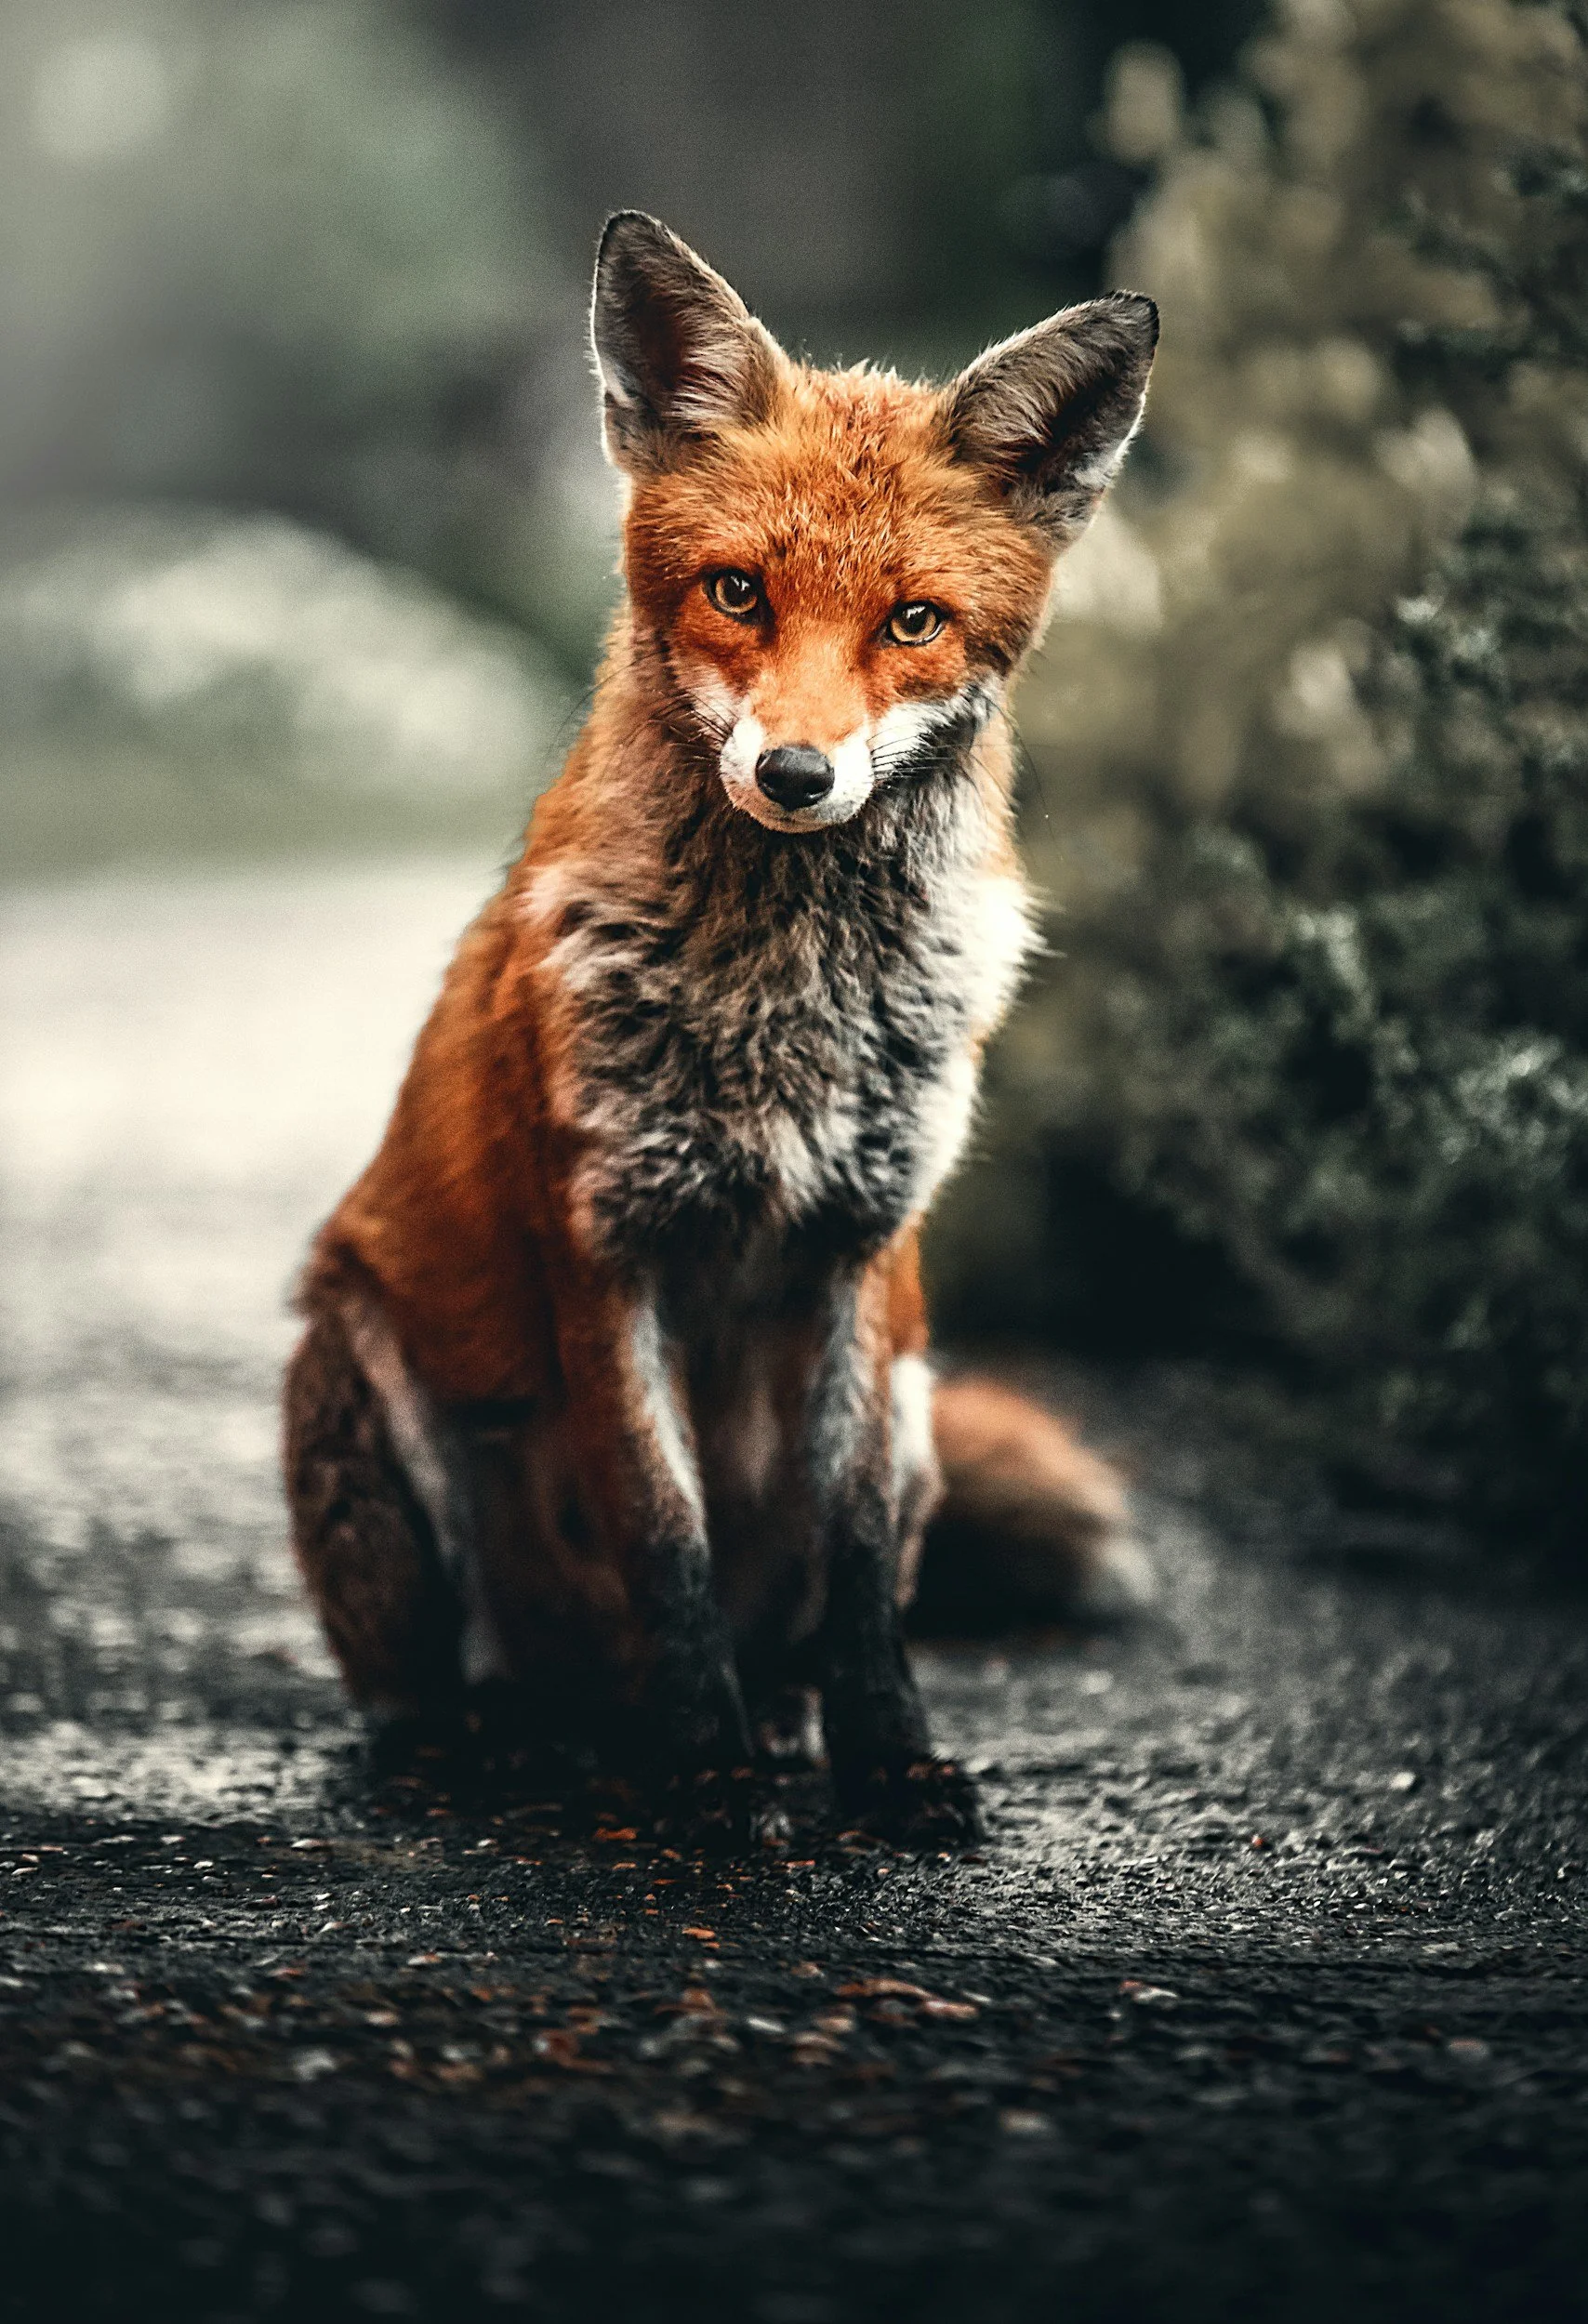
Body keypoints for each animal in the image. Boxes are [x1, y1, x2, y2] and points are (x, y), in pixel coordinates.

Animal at [283, 211, 1157, 1848]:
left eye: (913, 621)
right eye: (739, 592)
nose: (799, 775)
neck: (785, 1008)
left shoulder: (866, 1255)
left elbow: (861, 1566)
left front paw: (888, 1762)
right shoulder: (606, 1247)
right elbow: (665, 1536)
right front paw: (706, 1778)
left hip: (924, 1398)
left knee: (801, 1622)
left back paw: (773, 1725)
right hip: (365, 1376)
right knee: (441, 1688)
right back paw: (508, 1746)